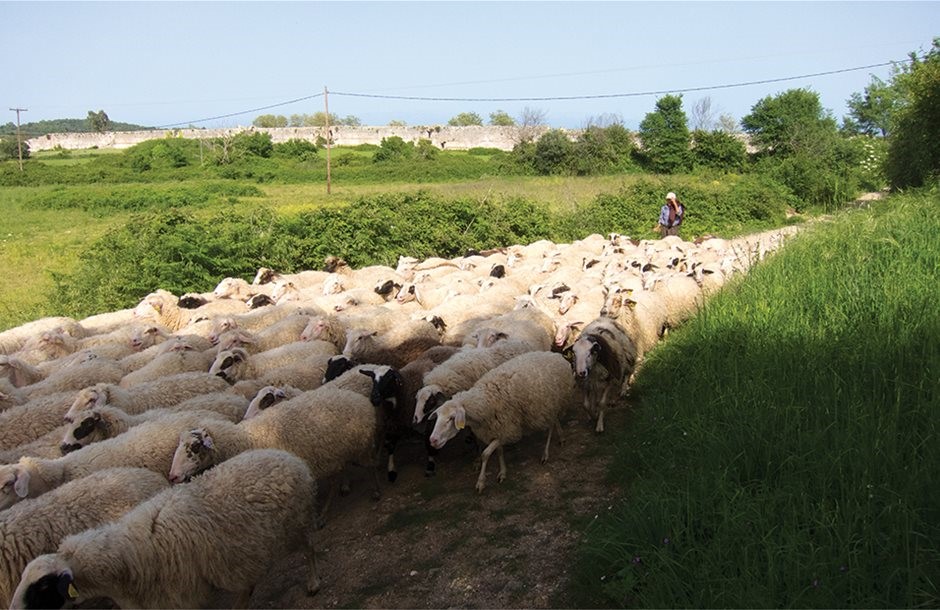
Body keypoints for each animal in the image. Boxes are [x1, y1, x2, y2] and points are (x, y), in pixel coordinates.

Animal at [430, 350, 576, 492]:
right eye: (437, 417)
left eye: (451, 418)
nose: (433, 440)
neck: (486, 399)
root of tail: (557, 355)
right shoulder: (497, 429)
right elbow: (499, 451)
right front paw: (502, 473)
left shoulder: (507, 429)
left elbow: (485, 454)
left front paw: (481, 482)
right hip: (551, 405)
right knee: (555, 420)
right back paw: (561, 437)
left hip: (551, 405)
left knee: (550, 426)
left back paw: (545, 454)